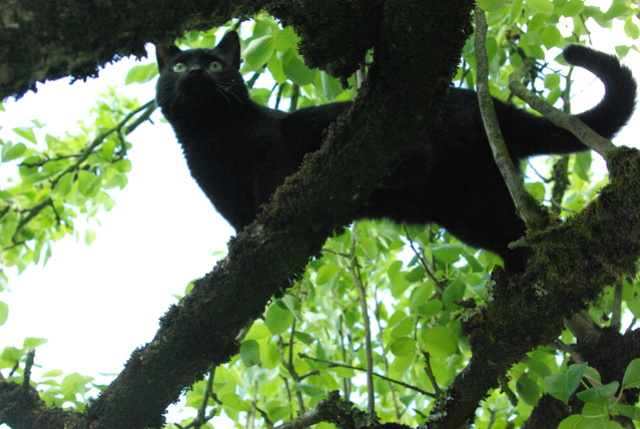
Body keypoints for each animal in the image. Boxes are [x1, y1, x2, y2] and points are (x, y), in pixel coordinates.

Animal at [154, 31, 636, 270]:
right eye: (177, 65)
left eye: (215, 63)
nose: (195, 72)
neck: (214, 140)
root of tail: (491, 105)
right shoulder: (225, 199)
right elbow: (241, 224)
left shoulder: (276, 153)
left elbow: (274, 187)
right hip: (470, 208)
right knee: (517, 235)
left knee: (418, 157)